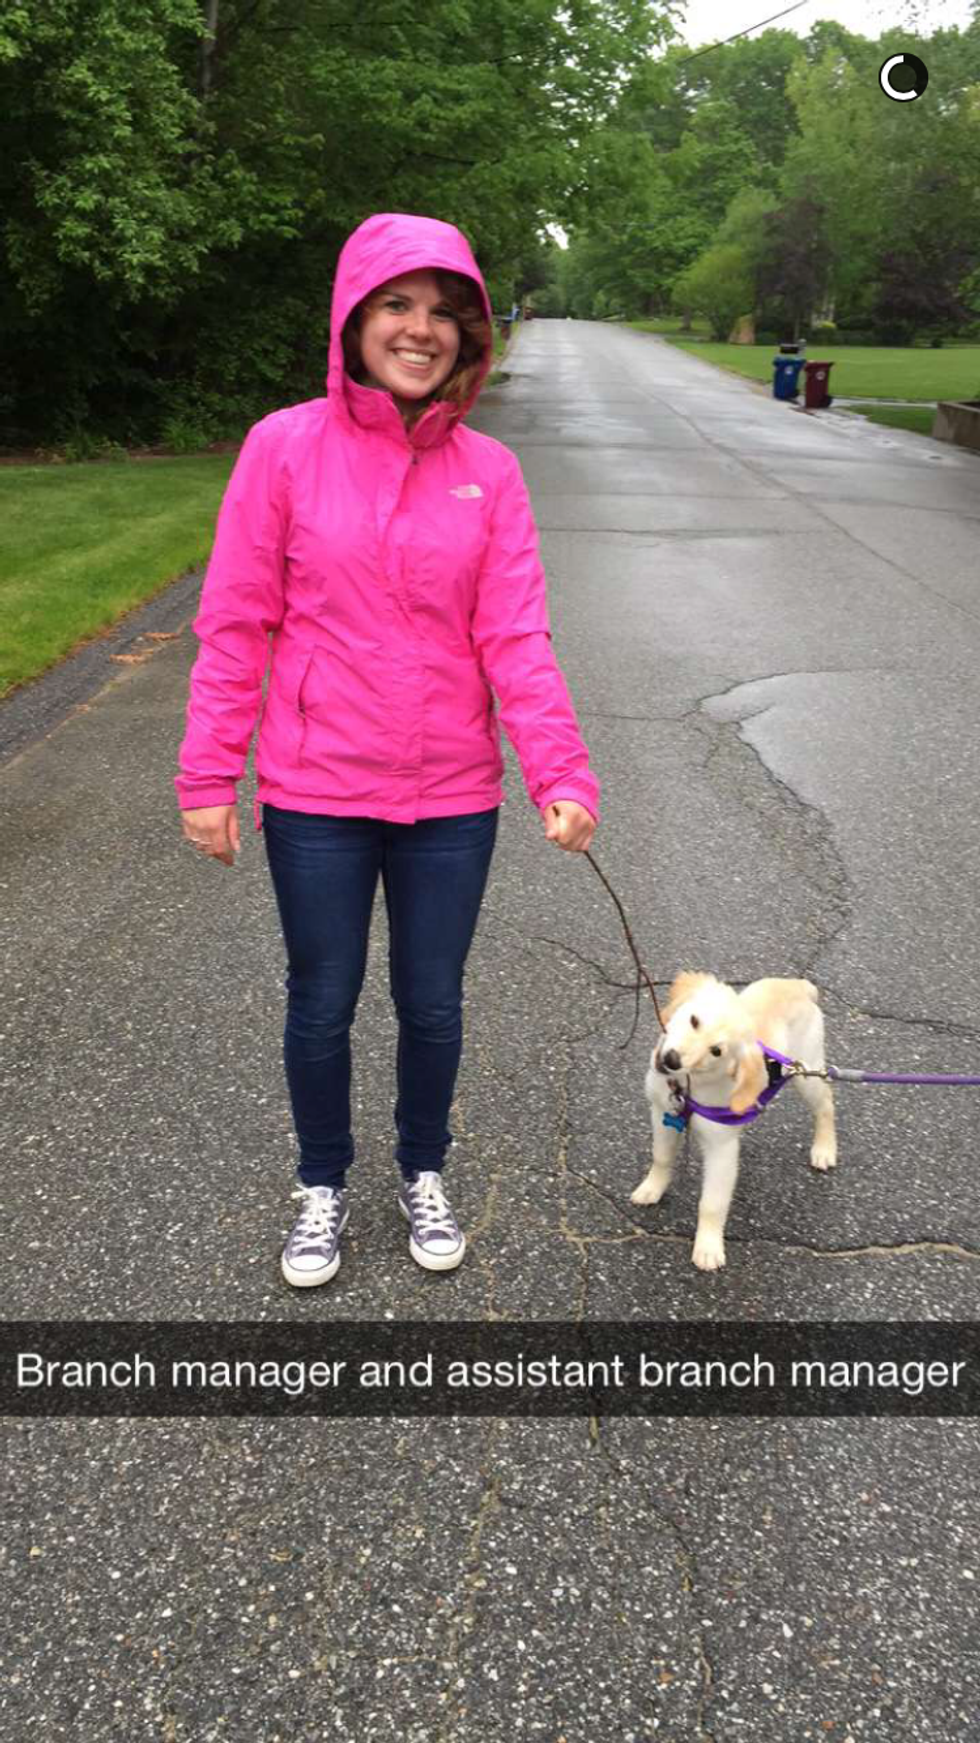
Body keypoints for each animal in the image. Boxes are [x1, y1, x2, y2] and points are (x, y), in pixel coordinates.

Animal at [631, 972, 837, 1271]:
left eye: (716, 1050)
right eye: (694, 1020)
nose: (671, 1060)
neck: (689, 1088)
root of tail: (800, 986)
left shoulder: (721, 1149)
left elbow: (712, 1203)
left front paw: (708, 1247)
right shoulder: (662, 1114)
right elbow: (661, 1157)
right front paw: (651, 1188)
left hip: (806, 1071)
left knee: (826, 1104)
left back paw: (824, 1149)